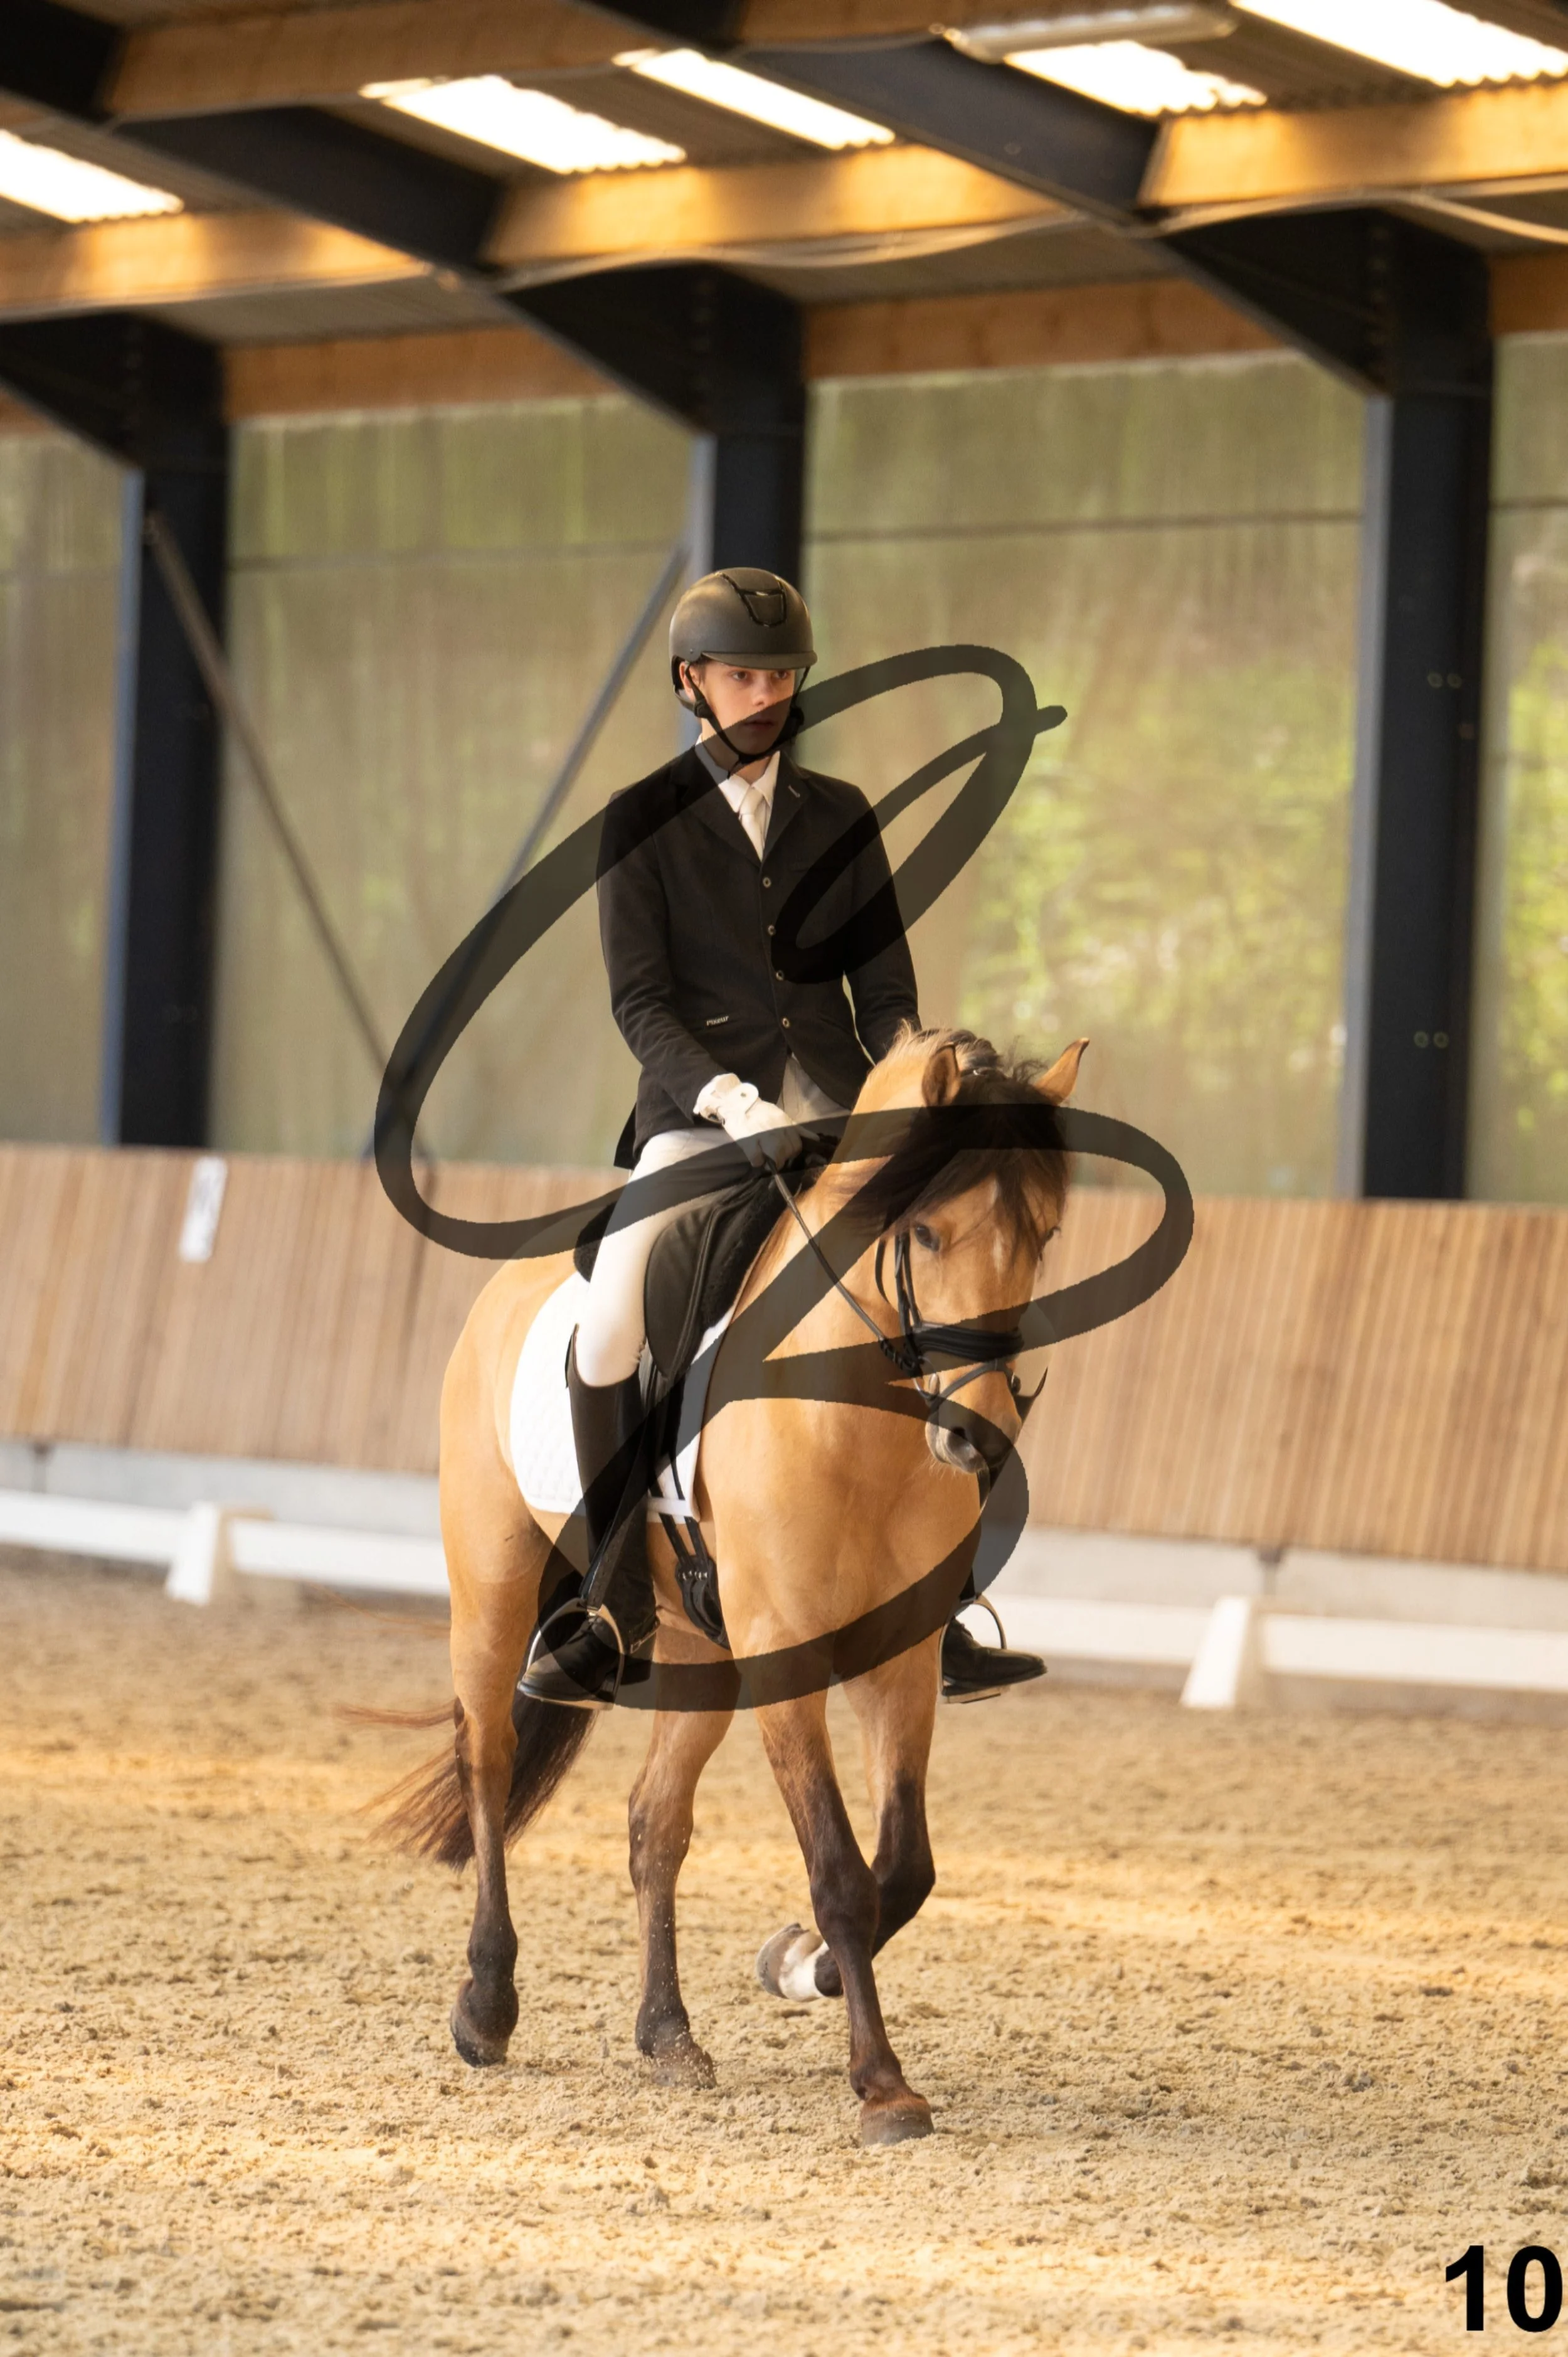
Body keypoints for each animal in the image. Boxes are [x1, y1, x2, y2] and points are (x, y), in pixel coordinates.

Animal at [385, 1025, 1085, 2147]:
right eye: (927, 1235)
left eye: (1045, 1234)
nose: (975, 1437)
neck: (854, 1417)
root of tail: (511, 1284)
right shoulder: (785, 1657)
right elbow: (841, 1871)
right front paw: (883, 2085)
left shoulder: (899, 1662)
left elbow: (905, 1866)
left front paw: (798, 1966)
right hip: (491, 1593)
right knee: (487, 1765)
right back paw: (487, 2004)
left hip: (698, 1650)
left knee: (652, 1822)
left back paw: (667, 2035)